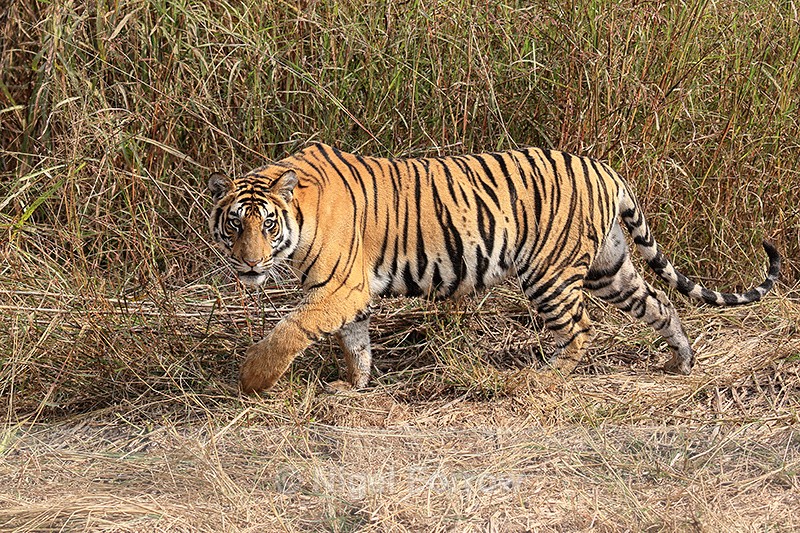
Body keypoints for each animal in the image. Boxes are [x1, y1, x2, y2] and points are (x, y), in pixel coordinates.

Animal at [208, 142, 780, 393]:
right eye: (235, 224)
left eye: (266, 225)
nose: (249, 263)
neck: (299, 218)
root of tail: (605, 169)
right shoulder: (351, 295)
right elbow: (357, 344)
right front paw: (355, 386)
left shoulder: (340, 287)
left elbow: (291, 329)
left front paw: (253, 379)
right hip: (610, 267)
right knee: (660, 304)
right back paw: (681, 362)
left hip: (550, 274)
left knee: (579, 328)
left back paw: (542, 379)